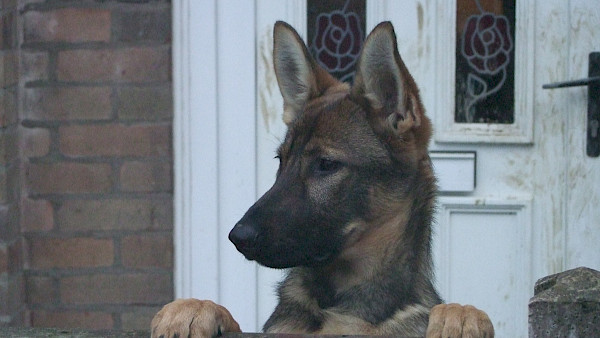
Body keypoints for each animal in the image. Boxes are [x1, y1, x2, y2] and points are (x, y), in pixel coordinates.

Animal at [152, 21, 494, 338]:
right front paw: (193, 308)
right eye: (281, 161)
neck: (339, 303)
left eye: (326, 164)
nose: (238, 237)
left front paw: (462, 315)